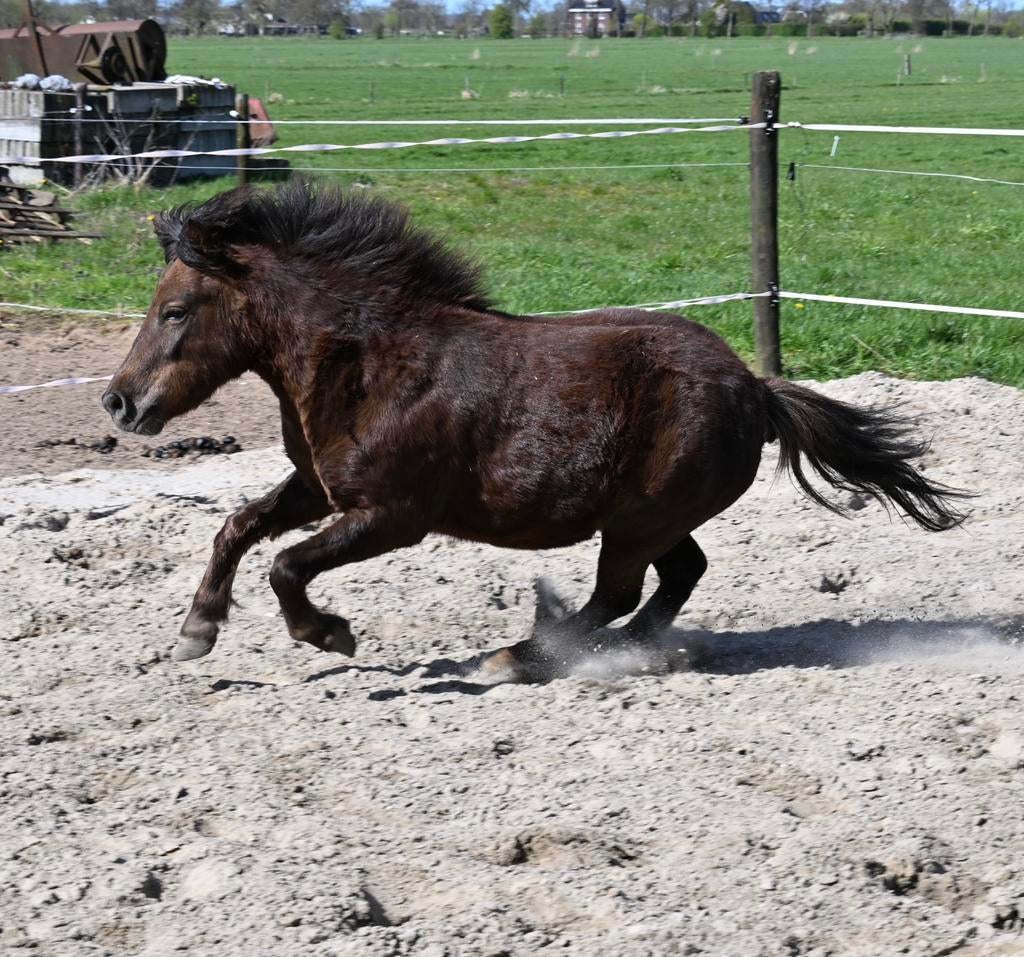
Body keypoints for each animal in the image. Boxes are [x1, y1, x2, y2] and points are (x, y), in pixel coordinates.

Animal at [102, 181, 966, 679]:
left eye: (175, 311)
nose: (118, 403)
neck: (368, 364)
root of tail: (753, 386)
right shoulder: (320, 488)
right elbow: (238, 526)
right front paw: (195, 632)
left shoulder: (392, 516)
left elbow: (286, 564)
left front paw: (330, 634)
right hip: (650, 518)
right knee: (675, 577)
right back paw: (622, 653)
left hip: (637, 520)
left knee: (620, 590)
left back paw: (520, 657)